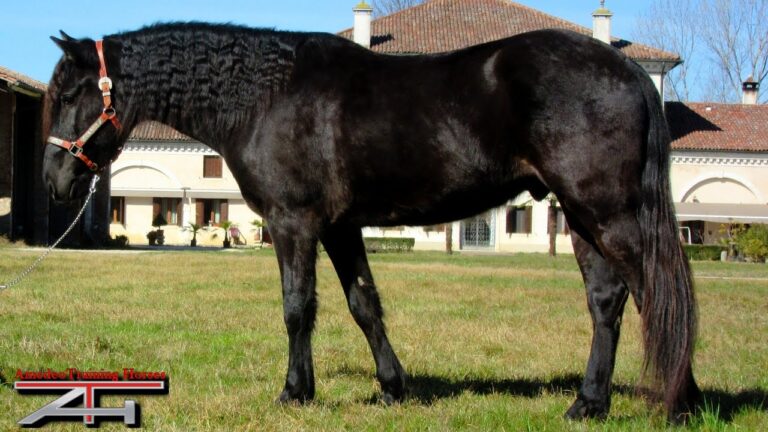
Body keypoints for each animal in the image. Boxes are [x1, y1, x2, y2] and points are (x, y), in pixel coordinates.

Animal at [42, 22, 700, 422]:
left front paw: (295, 391)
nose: (54, 180)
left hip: (605, 212)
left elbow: (297, 307)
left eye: (72, 93)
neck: (266, 97)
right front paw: (393, 387)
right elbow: (364, 304)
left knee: (656, 291)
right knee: (609, 300)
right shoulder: (340, 228)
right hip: (583, 220)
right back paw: (589, 403)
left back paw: (681, 401)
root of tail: (630, 71)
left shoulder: (294, 223)